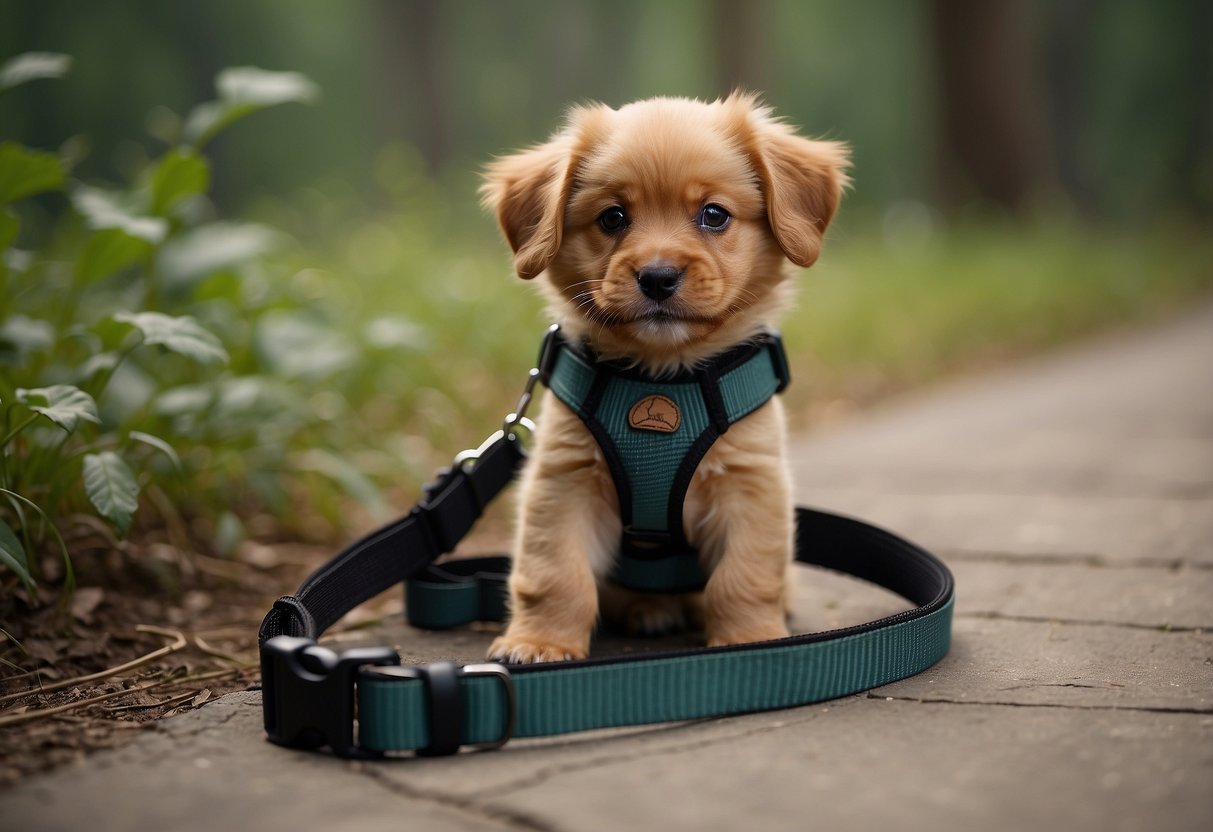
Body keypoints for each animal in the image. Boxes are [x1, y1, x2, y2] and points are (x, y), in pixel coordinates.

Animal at [477, 92, 849, 664]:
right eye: (613, 217)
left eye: (713, 215)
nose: (657, 277)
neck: (662, 376)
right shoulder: (563, 484)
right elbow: (555, 575)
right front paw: (540, 641)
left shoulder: (751, 486)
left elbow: (744, 577)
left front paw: (749, 641)